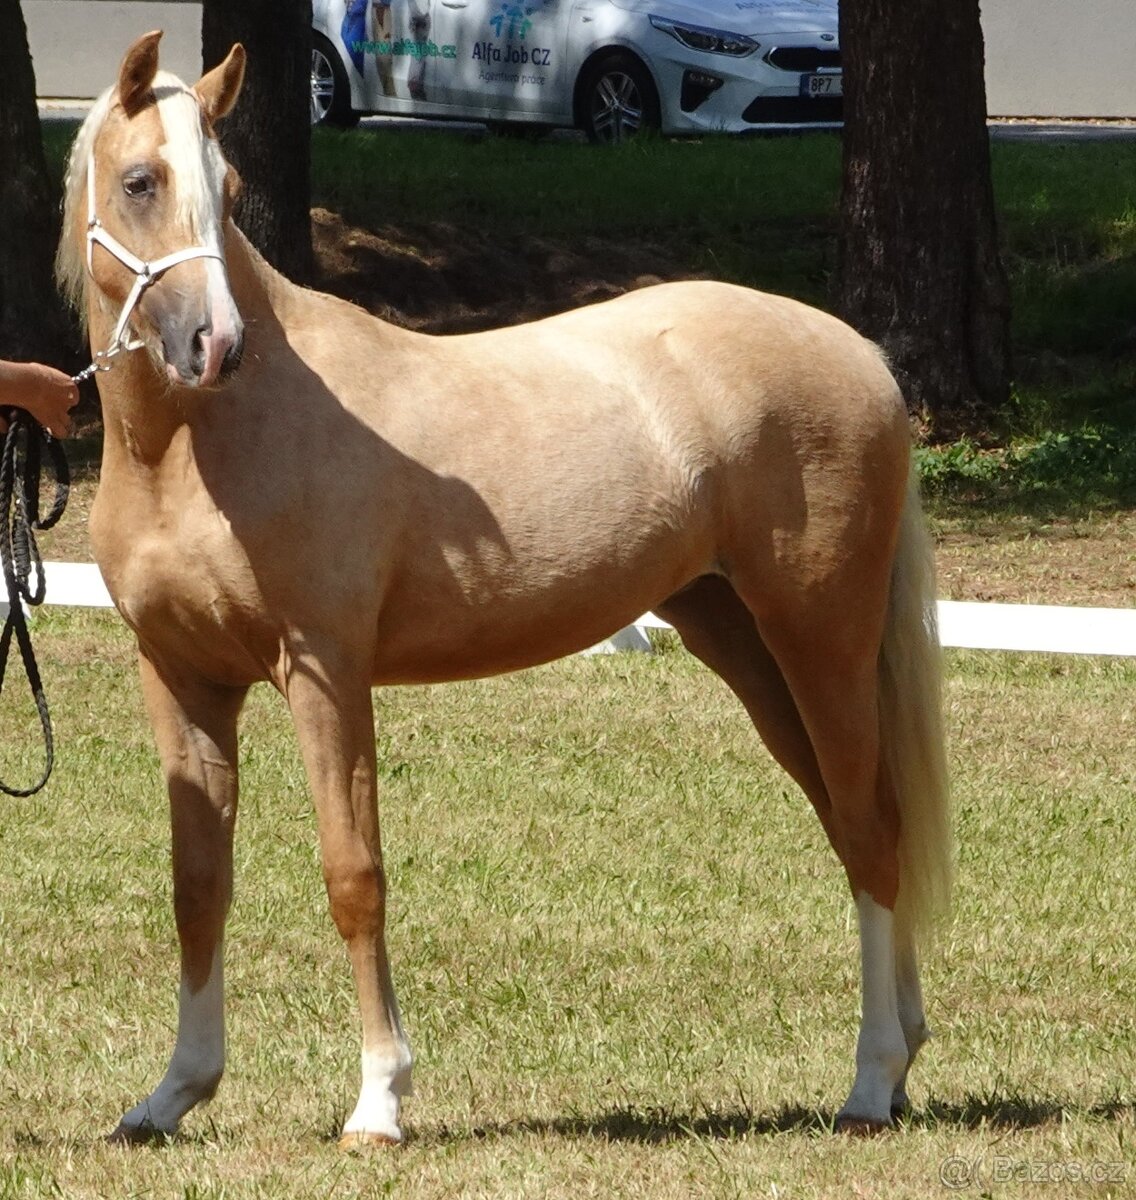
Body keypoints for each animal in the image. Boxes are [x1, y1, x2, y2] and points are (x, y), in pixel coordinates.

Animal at [57, 31, 951, 1146]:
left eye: (228, 190)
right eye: (140, 182)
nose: (214, 346)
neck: (196, 444)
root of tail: (860, 354)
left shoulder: (324, 673)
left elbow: (353, 875)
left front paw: (380, 1100)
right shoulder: (180, 677)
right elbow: (197, 884)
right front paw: (173, 1092)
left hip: (818, 637)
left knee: (870, 833)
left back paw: (870, 1082)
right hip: (742, 642)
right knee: (860, 825)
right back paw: (899, 1062)